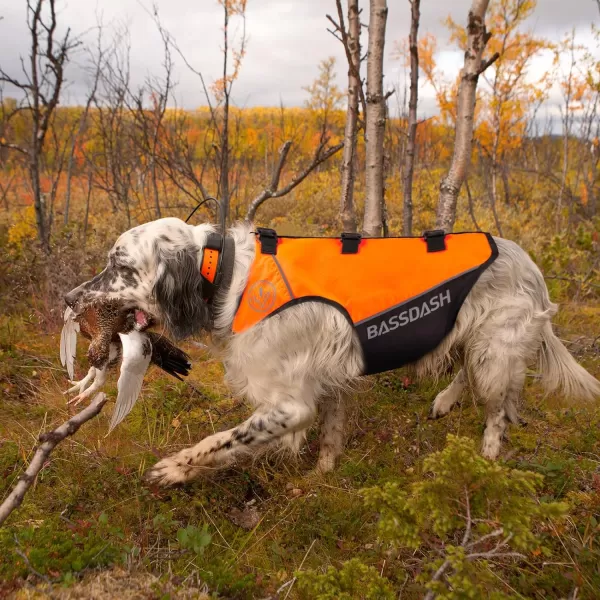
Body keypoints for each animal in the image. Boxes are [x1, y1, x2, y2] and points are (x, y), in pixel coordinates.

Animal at [64, 218, 600, 486]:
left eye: (119, 266)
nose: (69, 299)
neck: (230, 274)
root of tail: (532, 266)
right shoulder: (330, 379)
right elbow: (332, 432)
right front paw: (322, 474)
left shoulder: (290, 404)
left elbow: (222, 440)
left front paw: (175, 469)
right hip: (481, 344)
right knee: (477, 379)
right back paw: (447, 402)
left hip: (495, 351)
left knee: (496, 413)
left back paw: (487, 461)